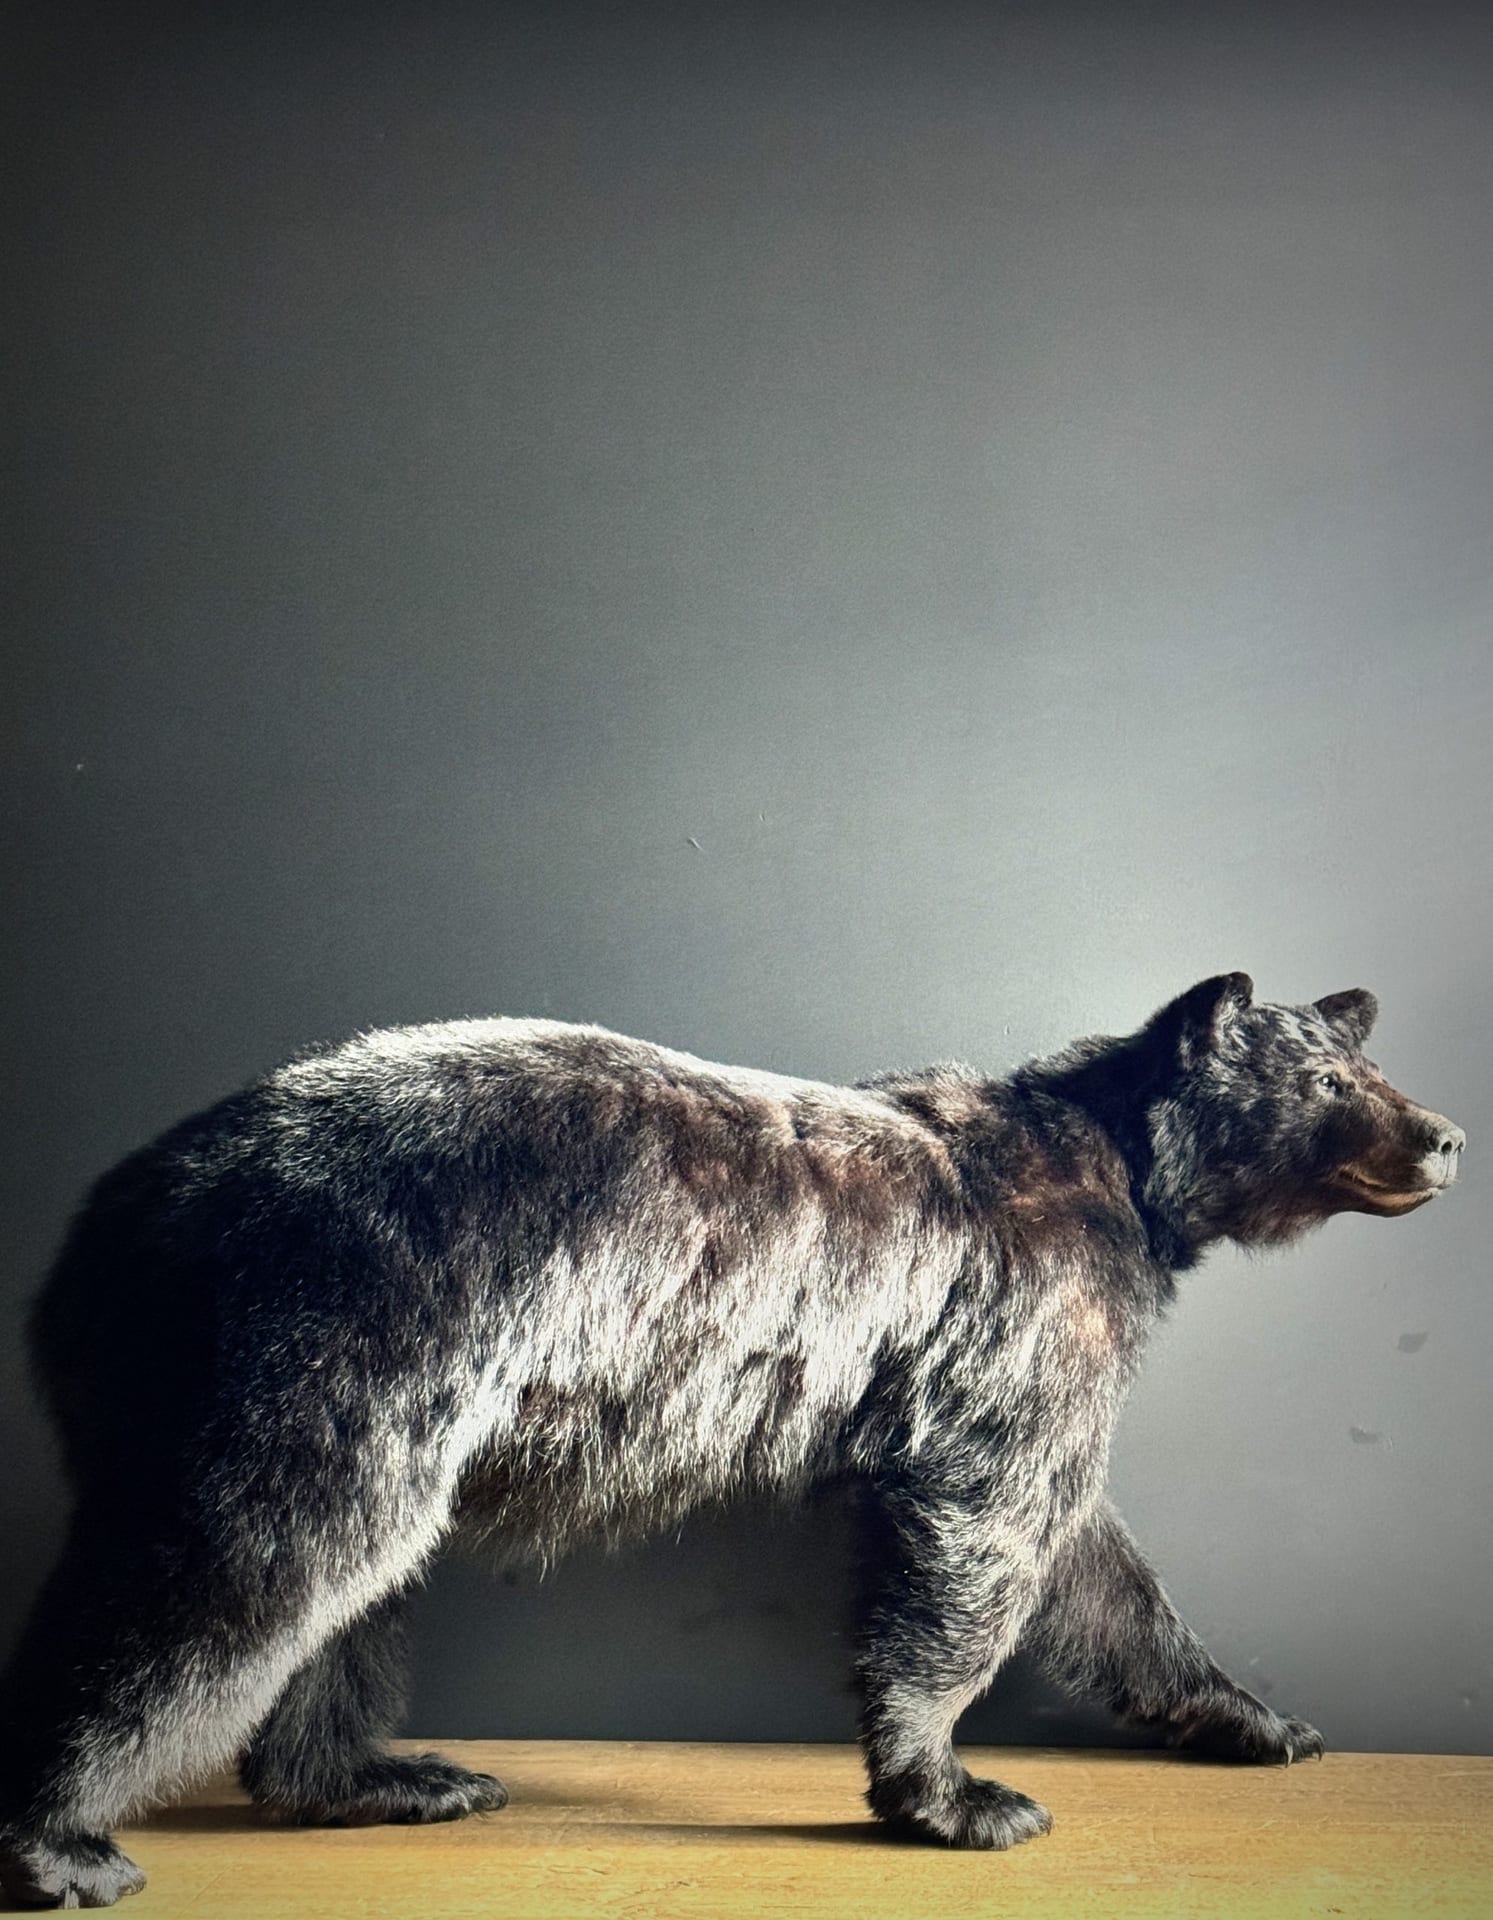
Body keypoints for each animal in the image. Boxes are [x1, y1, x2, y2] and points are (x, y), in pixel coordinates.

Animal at [0, 973, 1465, 1906]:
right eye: (1329, 1078)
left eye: (1369, 1063)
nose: (1445, 1134)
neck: (1131, 1184)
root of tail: (112, 1217)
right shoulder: (1011, 1312)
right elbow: (985, 1528)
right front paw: (960, 1791)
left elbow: (1097, 1564)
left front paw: (1257, 1715)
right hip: (338, 1334)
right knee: (244, 1568)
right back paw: (60, 1840)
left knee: (348, 1602)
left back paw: (386, 1775)